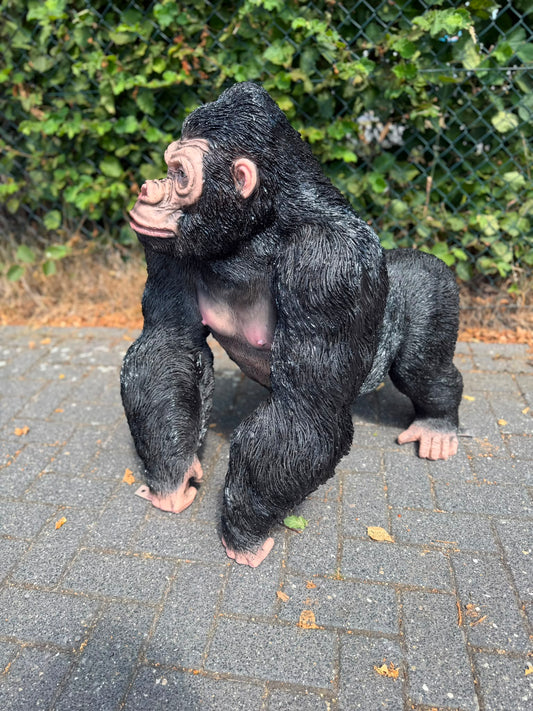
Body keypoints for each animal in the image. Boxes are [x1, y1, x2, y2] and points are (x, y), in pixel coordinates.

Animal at [121, 82, 463, 567]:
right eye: (167, 167)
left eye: (180, 174)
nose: (149, 187)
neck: (254, 232)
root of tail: (418, 256)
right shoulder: (168, 249)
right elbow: (169, 344)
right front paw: (173, 479)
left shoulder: (328, 265)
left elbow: (304, 409)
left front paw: (244, 533)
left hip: (433, 289)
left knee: (423, 369)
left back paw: (437, 426)